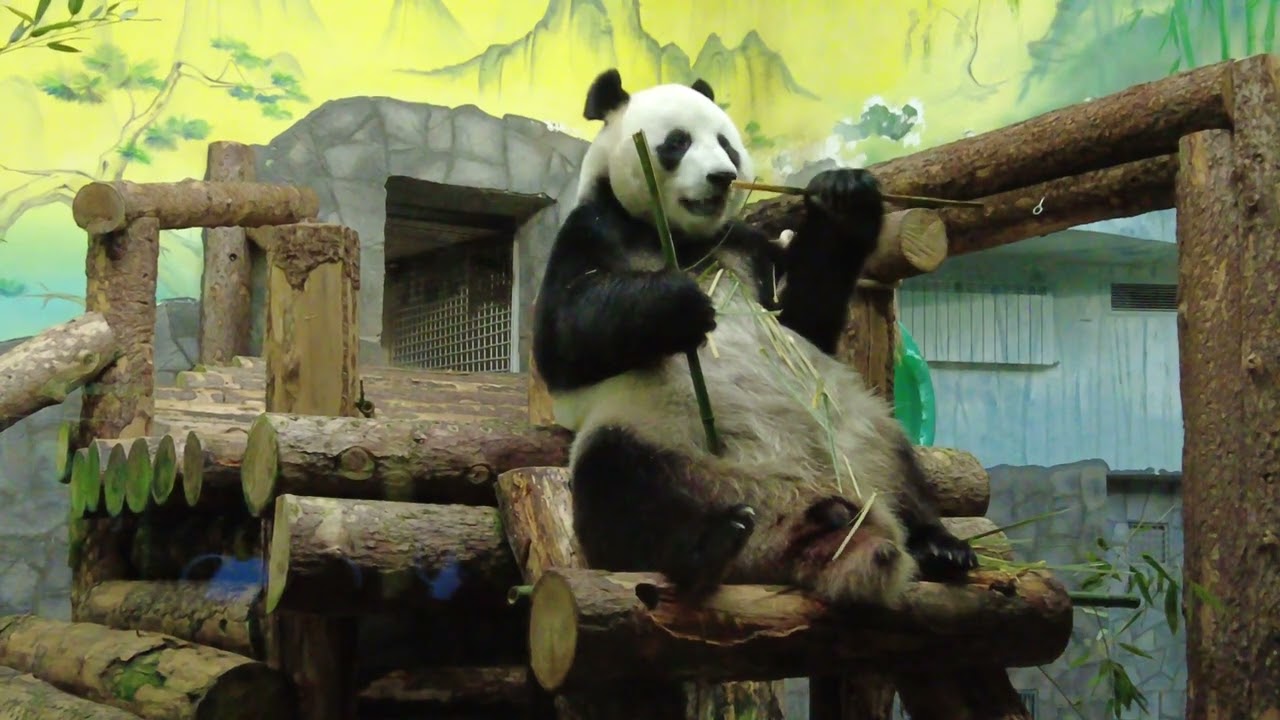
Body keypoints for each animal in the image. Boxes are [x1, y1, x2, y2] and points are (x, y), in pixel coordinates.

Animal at [532, 68, 978, 609]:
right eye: (677, 142)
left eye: (726, 142)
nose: (722, 177)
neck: (683, 240)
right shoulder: (592, 232)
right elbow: (562, 339)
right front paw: (678, 301)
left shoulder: (747, 248)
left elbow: (804, 321)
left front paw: (845, 197)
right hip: (655, 431)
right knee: (620, 489)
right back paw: (711, 542)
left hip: (859, 431)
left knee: (903, 472)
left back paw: (939, 546)